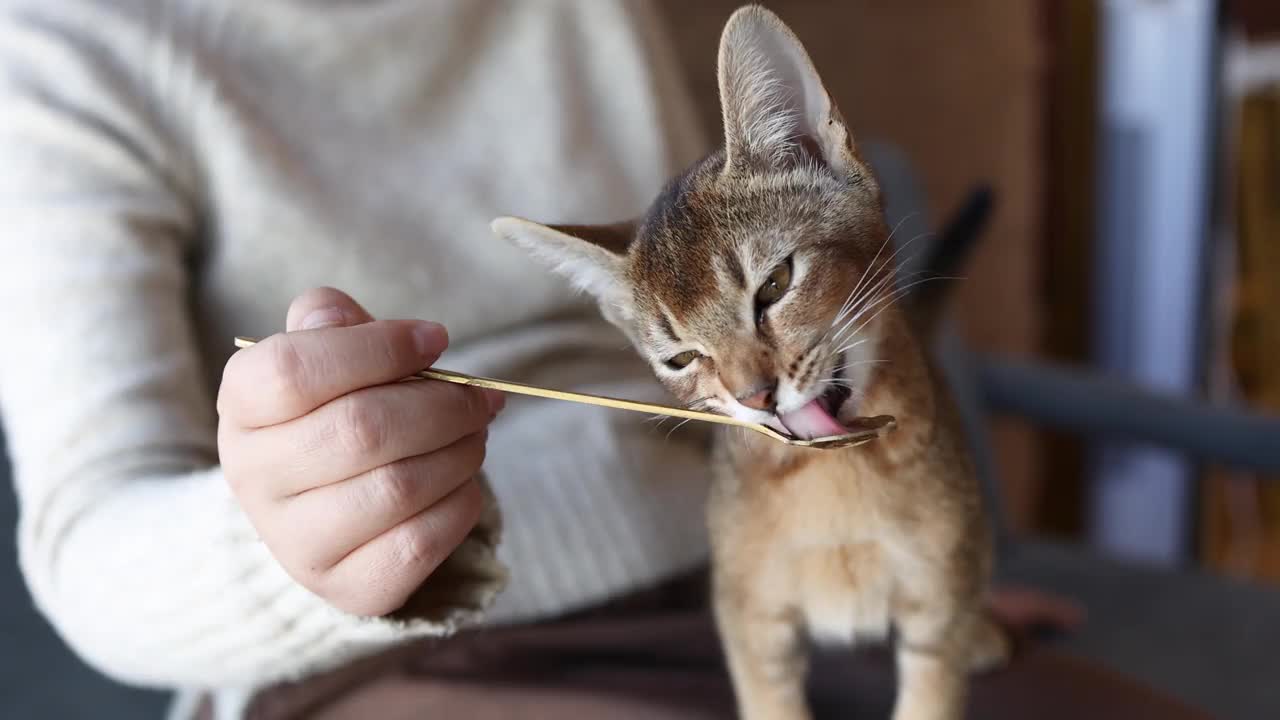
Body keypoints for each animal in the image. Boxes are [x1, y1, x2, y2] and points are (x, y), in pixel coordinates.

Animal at [494, 5, 1003, 717]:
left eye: (775, 285)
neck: (833, 484)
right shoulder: (749, 621)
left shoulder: (935, 606)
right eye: (681, 358)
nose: (754, 395)